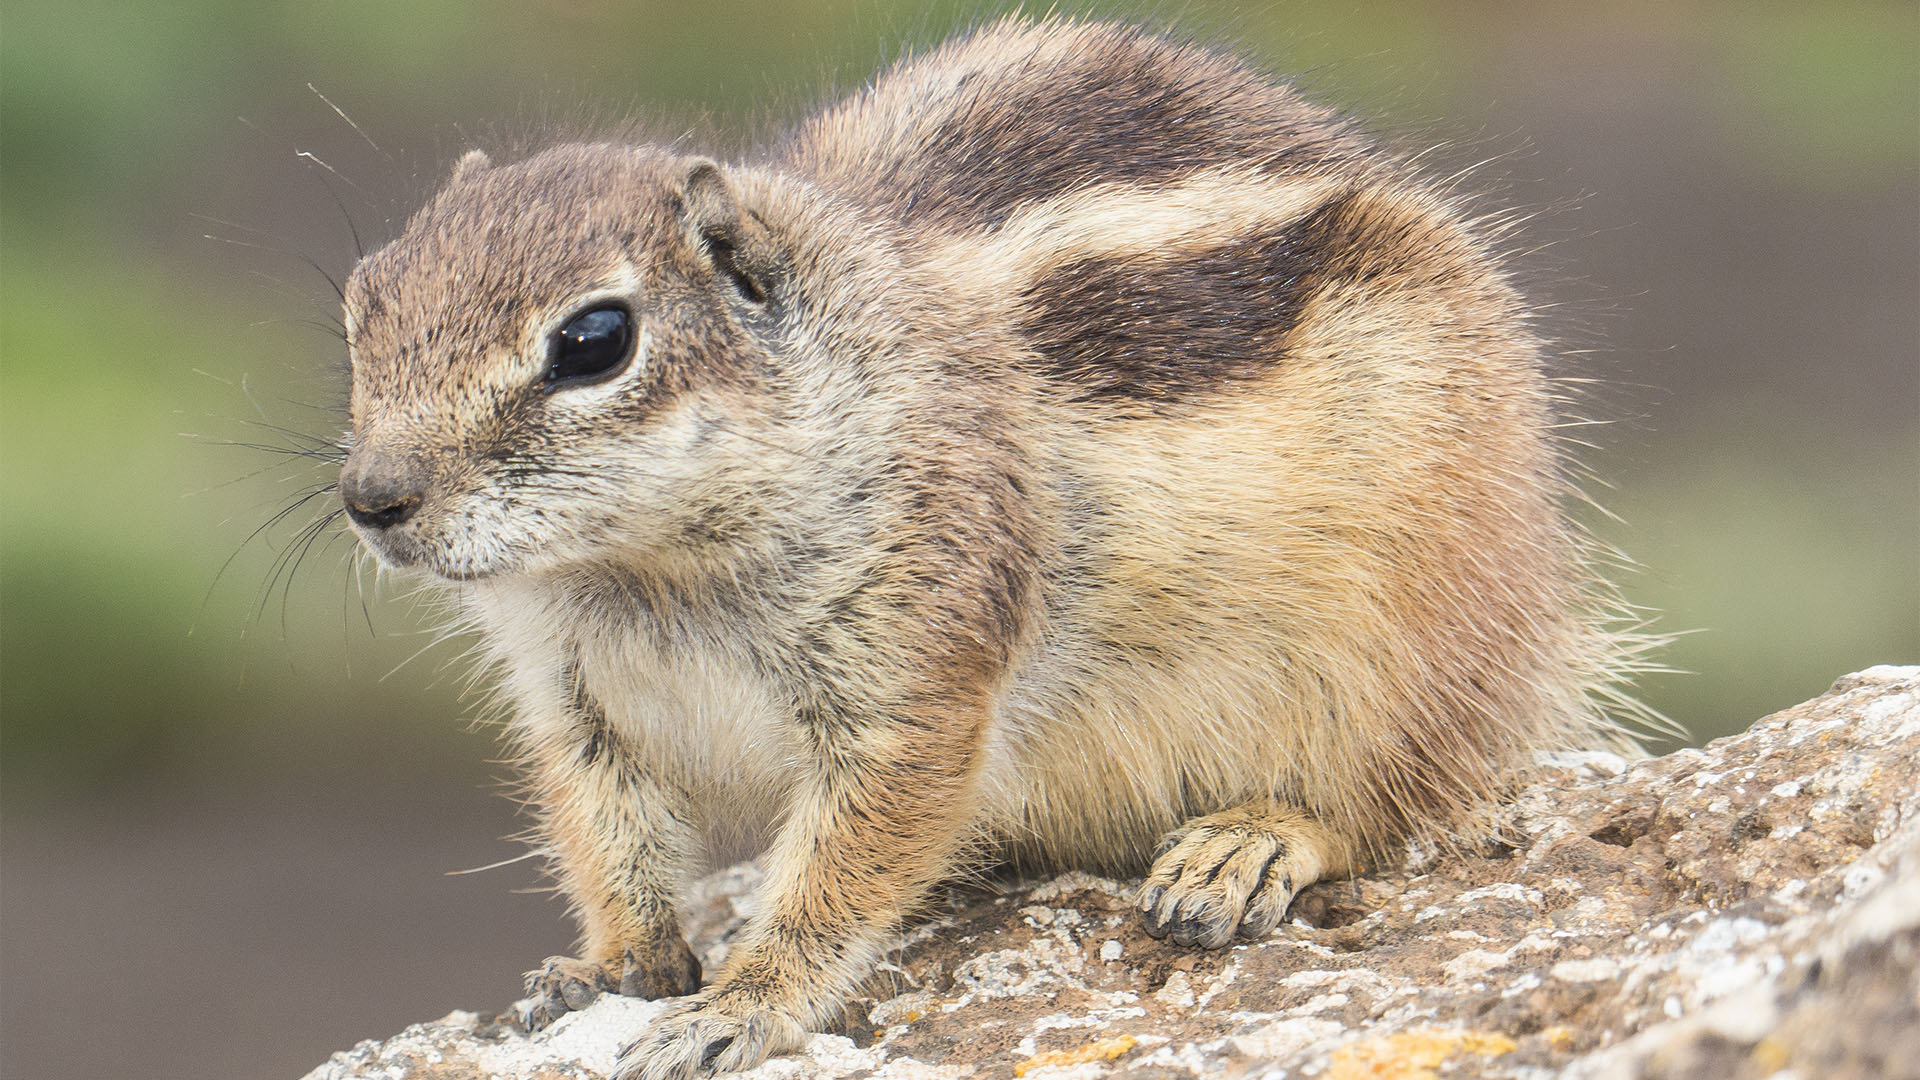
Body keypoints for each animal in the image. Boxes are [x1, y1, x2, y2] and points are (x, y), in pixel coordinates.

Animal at [330, 14, 1651, 1076]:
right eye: (361, 303)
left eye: (595, 341)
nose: (371, 498)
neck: (644, 573)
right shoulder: (572, 699)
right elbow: (604, 835)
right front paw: (612, 964)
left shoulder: (920, 663)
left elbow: (847, 863)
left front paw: (742, 1004)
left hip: (1415, 622)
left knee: (1400, 791)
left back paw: (1246, 844)